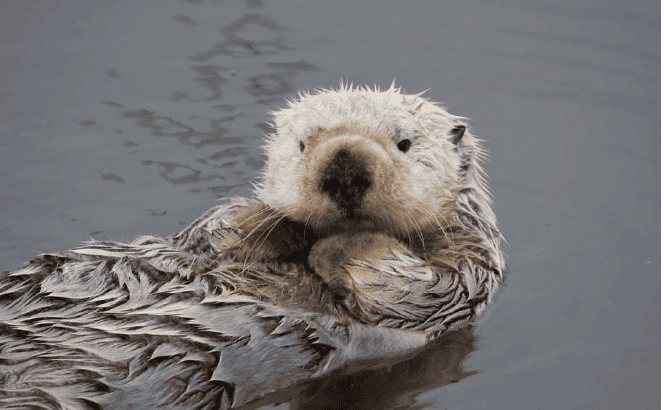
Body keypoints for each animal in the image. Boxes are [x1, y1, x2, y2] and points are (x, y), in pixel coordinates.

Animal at [0, 82, 505, 409]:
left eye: (404, 142)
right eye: (301, 144)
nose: (345, 170)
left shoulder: (465, 276)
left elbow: (414, 286)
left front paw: (337, 246)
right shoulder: (206, 235)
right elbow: (219, 227)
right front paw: (268, 223)